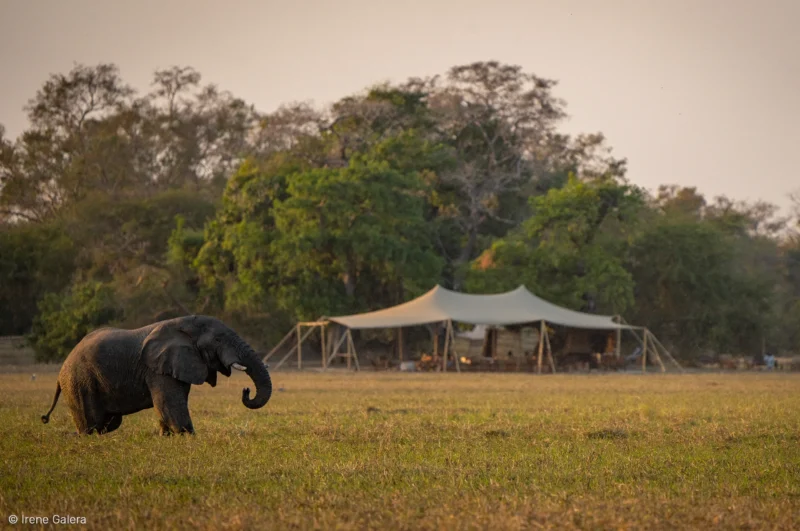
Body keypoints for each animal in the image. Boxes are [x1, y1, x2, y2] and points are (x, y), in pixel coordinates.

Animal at [40, 315, 272, 435]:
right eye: (218, 340)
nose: (246, 390)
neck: (184, 325)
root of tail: (61, 372)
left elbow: (170, 404)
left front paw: (166, 435)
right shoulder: (156, 369)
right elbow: (169, 403)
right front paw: (187, 436)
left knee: (110, 422)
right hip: (79, 383)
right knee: (92, 423)